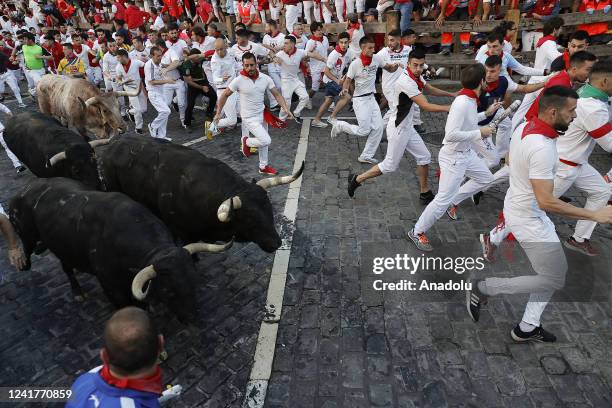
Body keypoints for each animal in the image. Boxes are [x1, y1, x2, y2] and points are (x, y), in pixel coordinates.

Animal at [8, 178, 233, 322]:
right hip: (30, 237)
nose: (193, 318)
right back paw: (74, 291)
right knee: (53, 262)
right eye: (168, 292)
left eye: (194, 282)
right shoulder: (111, 287)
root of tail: (25, 190)